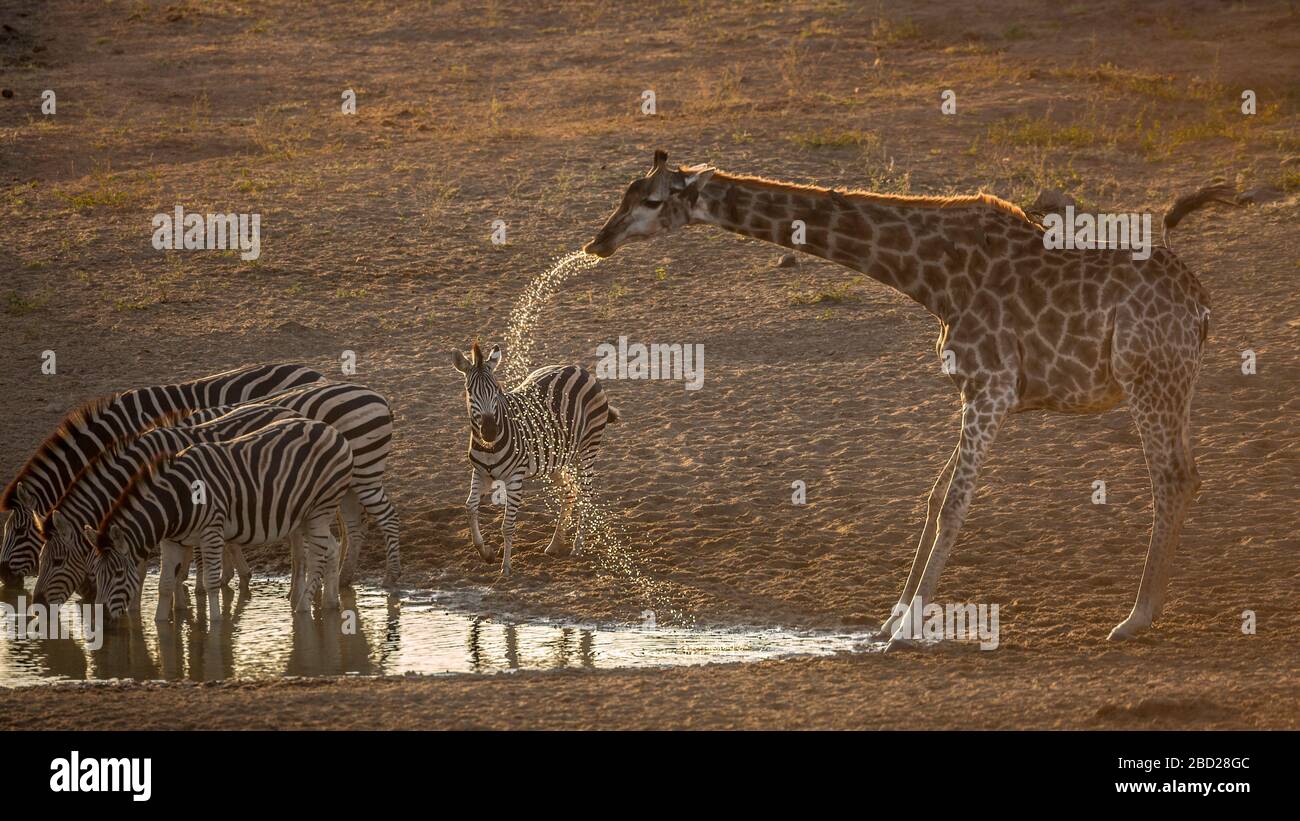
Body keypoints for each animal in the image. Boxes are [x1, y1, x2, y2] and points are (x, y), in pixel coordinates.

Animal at [585, 150, 1238, 646]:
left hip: (1149, 378)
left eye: (651, 202)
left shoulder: (992, 388)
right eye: (624, 193)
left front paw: (909, 628)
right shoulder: (976, 393)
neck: (933, 275)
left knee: (1171, 478)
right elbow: (931, 498)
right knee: (1190, 475)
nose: (599, 241)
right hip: (1172, 384)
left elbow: (953, 504)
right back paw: (1147, 609)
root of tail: (1202, 308)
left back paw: (1135, 618)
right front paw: (891, 618)